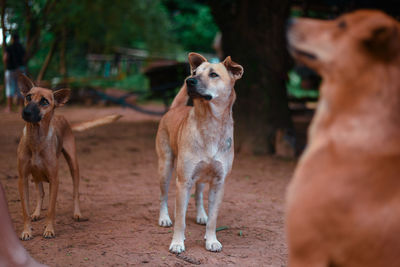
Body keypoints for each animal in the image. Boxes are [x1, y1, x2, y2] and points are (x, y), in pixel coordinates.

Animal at [16, 75, 120, 241]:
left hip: (73, 165)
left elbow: (51, 209)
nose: (26, 112)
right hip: (36, 175)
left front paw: (49, 230)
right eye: (28, 97)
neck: (36, 139)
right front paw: (27, 231)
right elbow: (25, 210)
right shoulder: (23, 178)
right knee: (41, 193)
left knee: (75, 192)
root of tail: (61, 116)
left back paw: (77, 213)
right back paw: (37, 213)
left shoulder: (54, 179)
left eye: (44, 101)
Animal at [155, 52, 244, 255]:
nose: (189, 80)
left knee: (199, 195)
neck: (210, 122)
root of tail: (173, 108)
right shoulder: (183, 181)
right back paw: (164, 218)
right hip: (165, 167)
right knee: (163, 196)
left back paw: (201, 214)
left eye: (213, 74)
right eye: (195, 72)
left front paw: (211, 240)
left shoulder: (219, 182)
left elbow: (213, 219)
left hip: (202, 176)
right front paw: (177, 242)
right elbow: (180, 219)